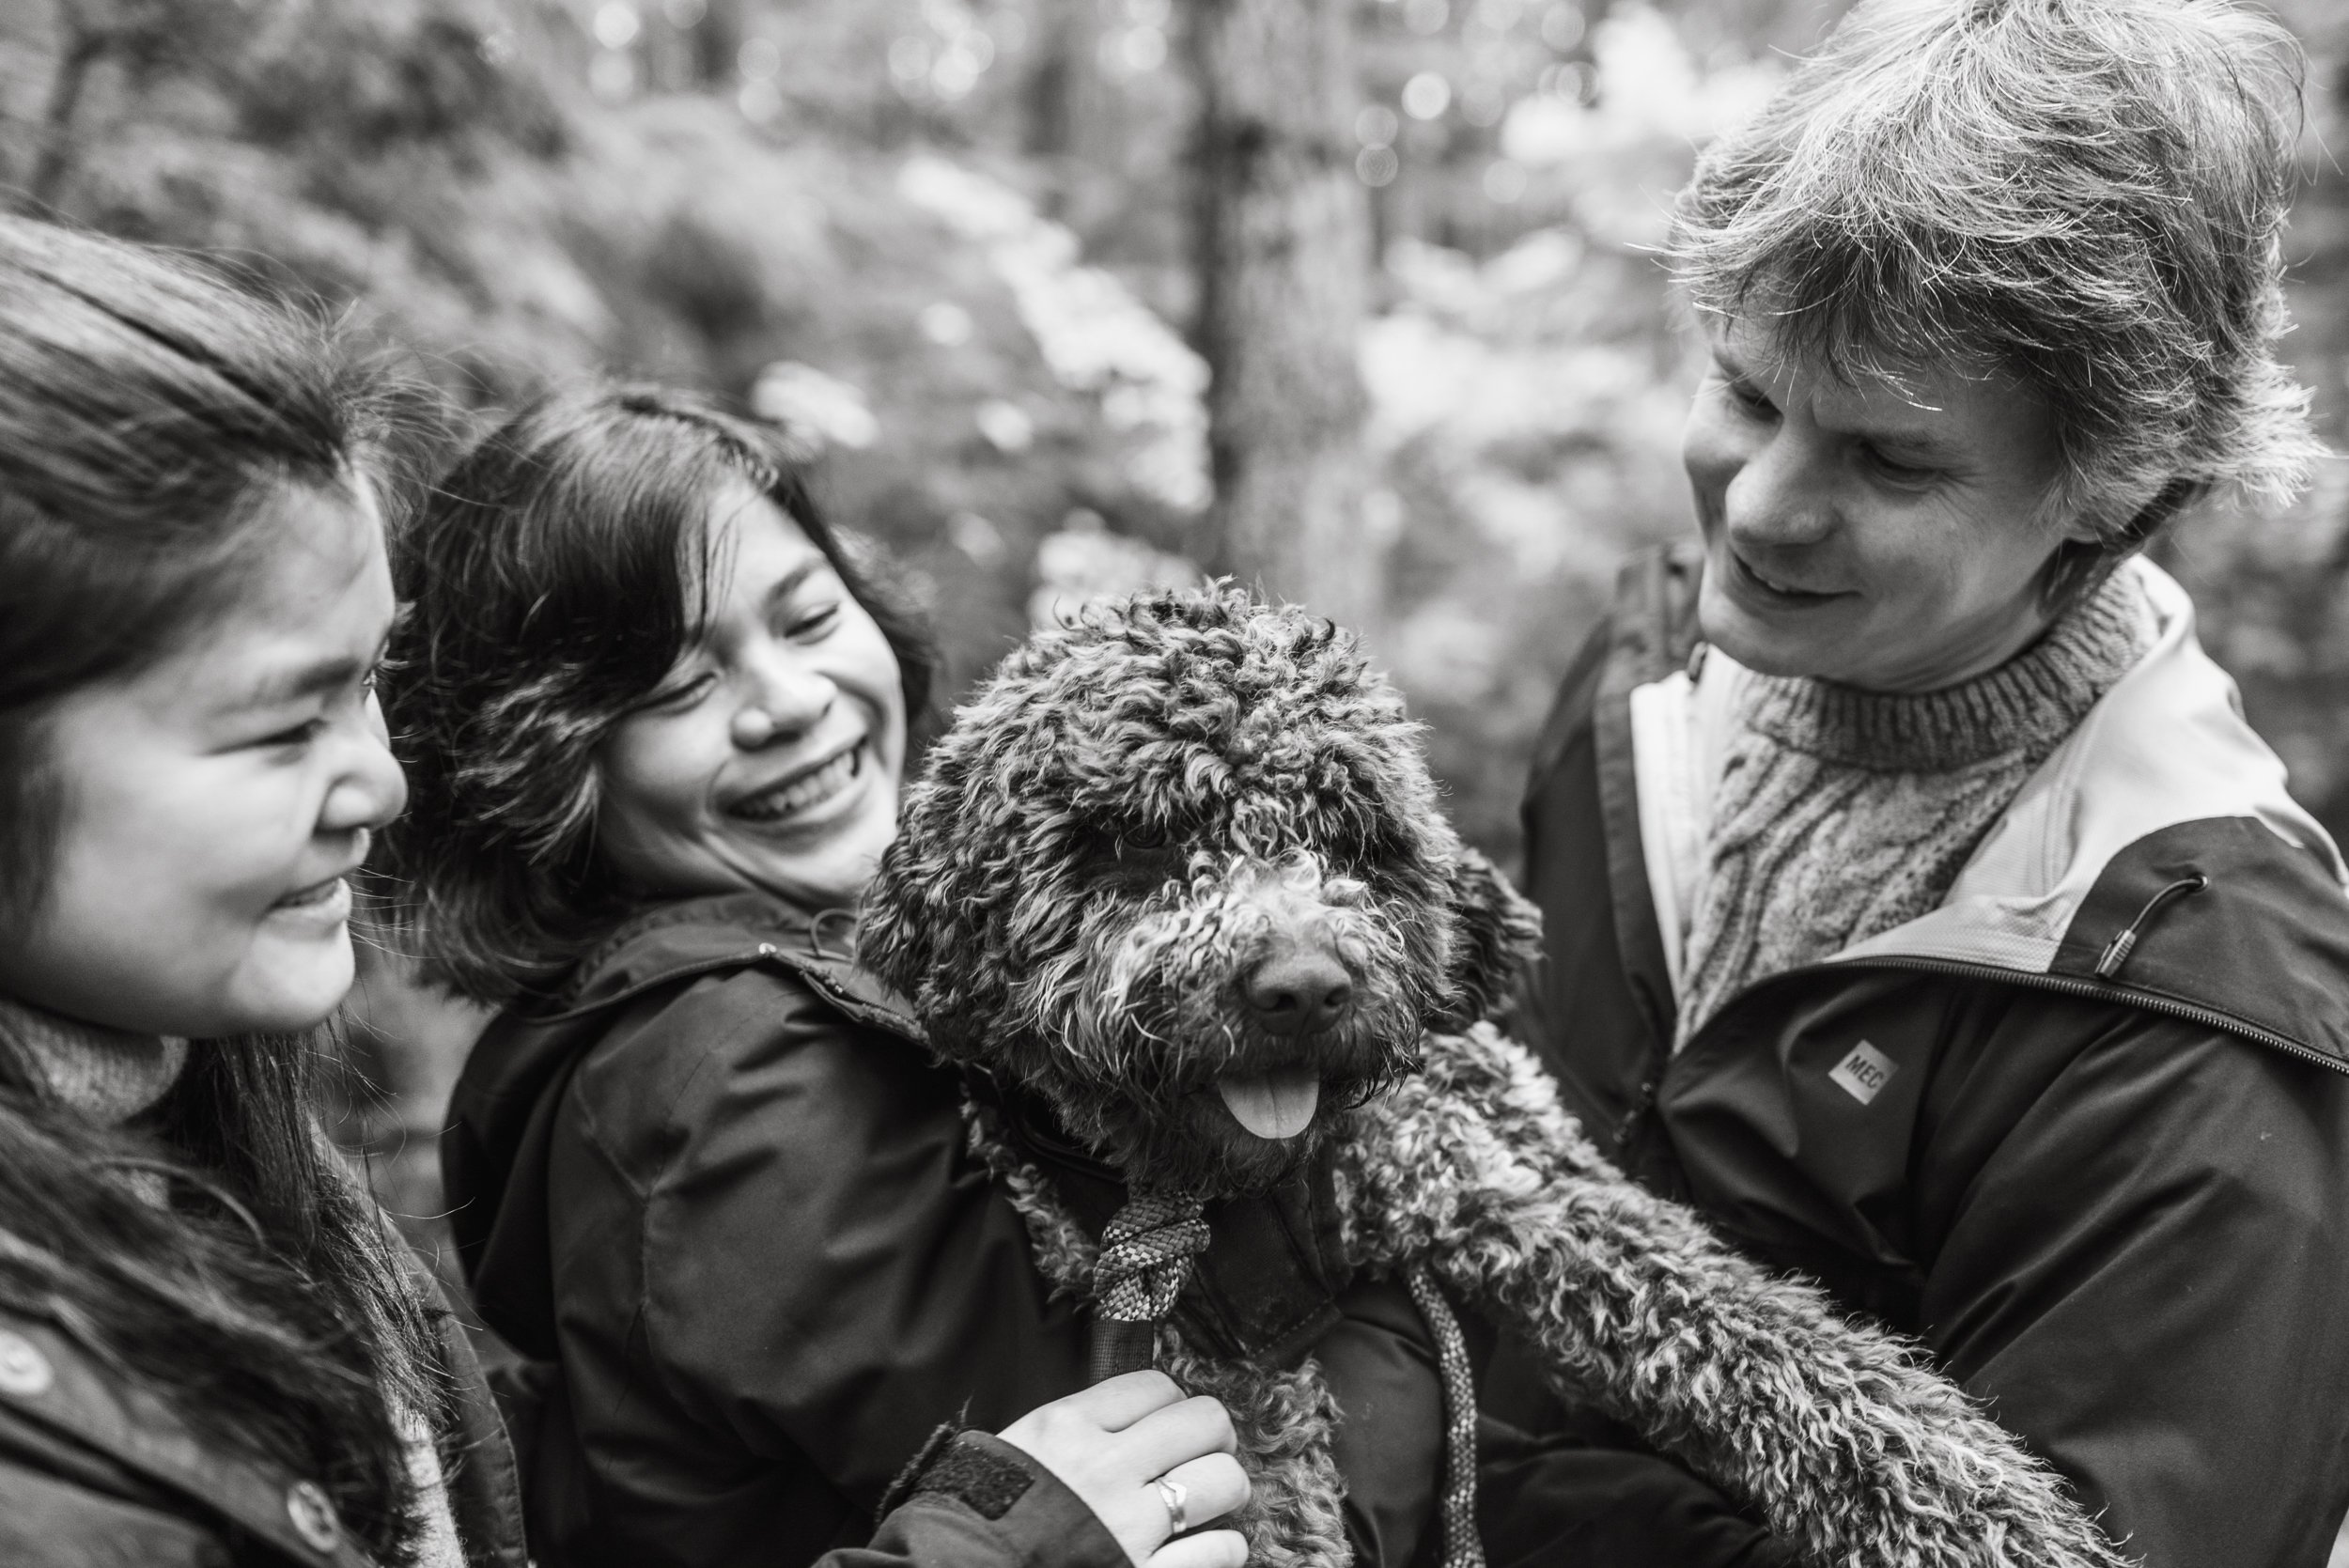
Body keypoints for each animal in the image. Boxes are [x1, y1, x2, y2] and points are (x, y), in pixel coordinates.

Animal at [855, 586, 2123, 1568]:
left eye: (1354, 840)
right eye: (1140, 842)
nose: (1304, 987)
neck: (1283, 1187)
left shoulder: (1514, 1187)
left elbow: (1794, 1356)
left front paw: (1996, 1522)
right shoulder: (1202, 1338)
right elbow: (1269, 1483)